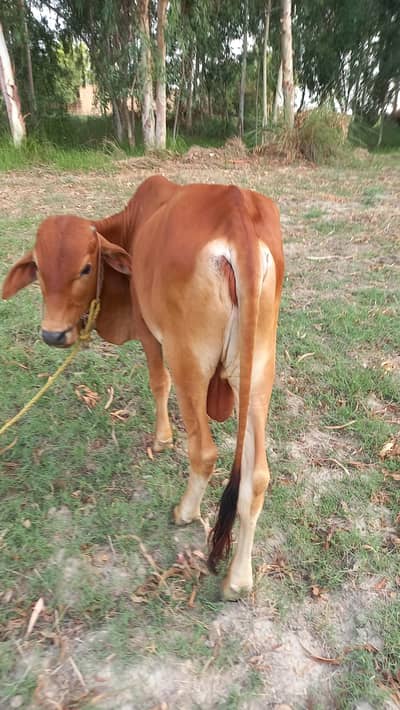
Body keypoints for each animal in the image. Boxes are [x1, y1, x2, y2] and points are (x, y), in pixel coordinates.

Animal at [2, 176, 284, 600]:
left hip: (189, 360)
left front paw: (162, 440)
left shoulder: (149, 332)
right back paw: (238, 579)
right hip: (259, 370)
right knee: (257, 477)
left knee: (204, 452)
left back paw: (185, 512)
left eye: (86, 268)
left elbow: (157, 382)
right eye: (37, 267)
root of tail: (238, 218)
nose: (53, 334)